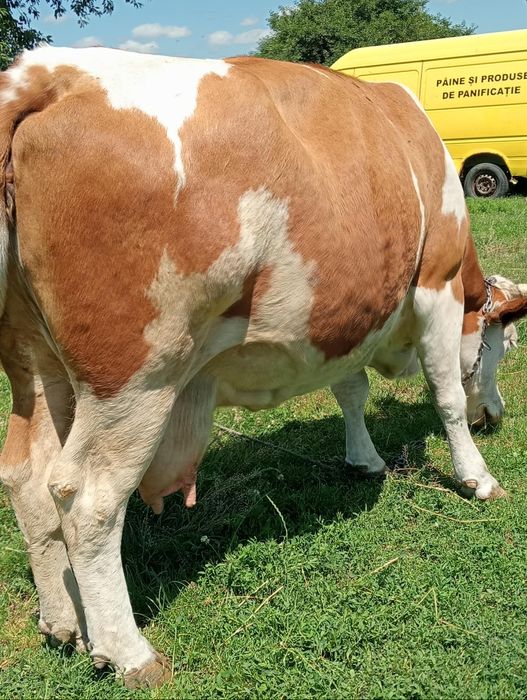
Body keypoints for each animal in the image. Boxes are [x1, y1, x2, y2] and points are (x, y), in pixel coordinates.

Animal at [0, 47, 526, 688]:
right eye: (505, 343)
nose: (496, 415)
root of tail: (48, 73)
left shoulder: (344, 316)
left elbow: (350, 389)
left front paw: (364, 458)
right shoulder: (436, 281)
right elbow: (445, 393)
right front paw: (477, 476)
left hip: (35, 363)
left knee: (25, 477)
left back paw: (64, 622)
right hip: (135, 375)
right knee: (86, 497)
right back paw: (129, 652)